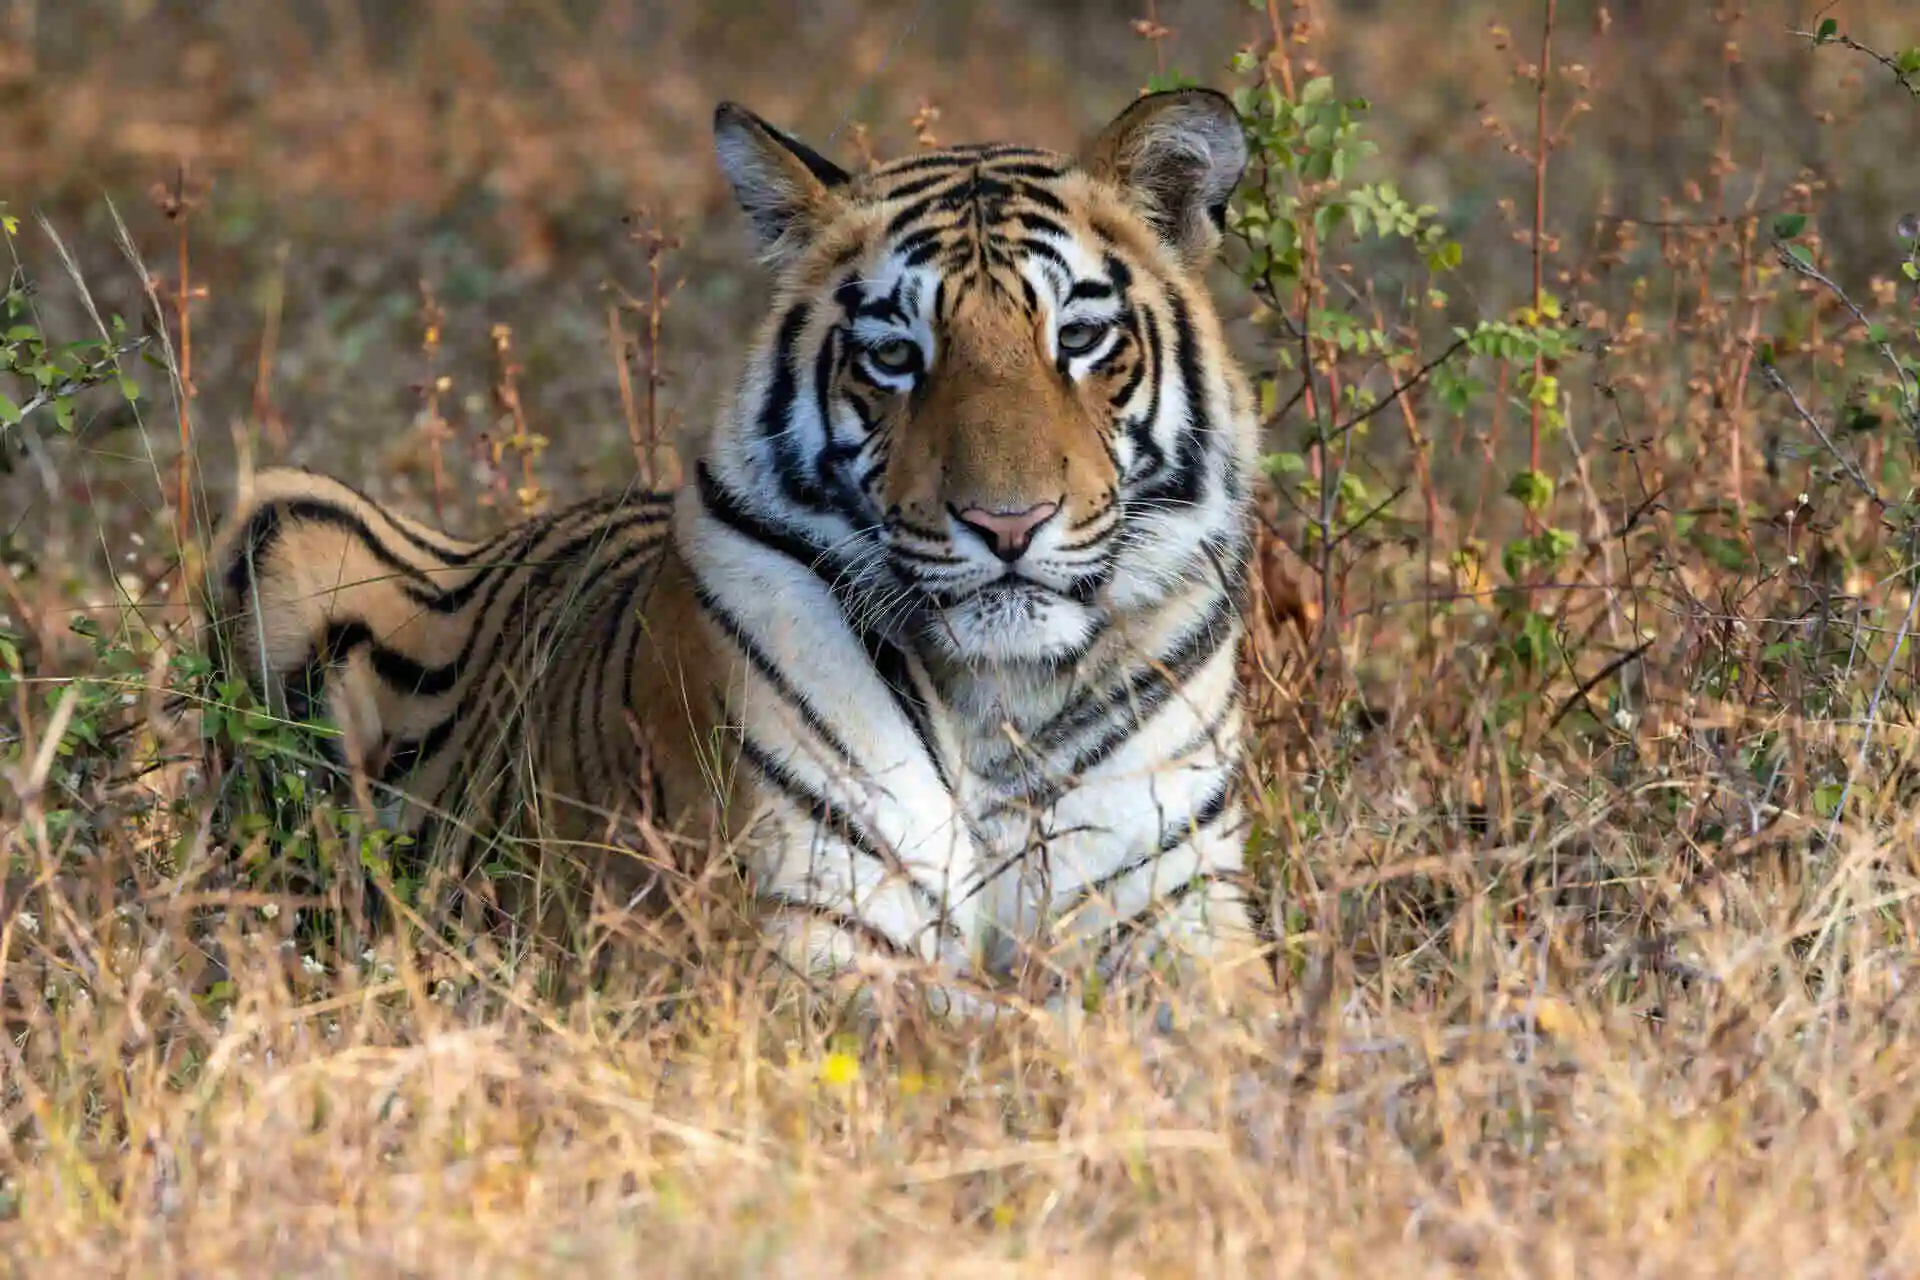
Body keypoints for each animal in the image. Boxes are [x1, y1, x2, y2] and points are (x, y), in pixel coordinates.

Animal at [194, 90, 1274, 1028]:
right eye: (895, 355)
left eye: (1081, 338)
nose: (1007, 525)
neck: (999, 701)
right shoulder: (804, 942)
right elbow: (1032, 1029)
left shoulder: (1181, 910)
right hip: (282, 513)